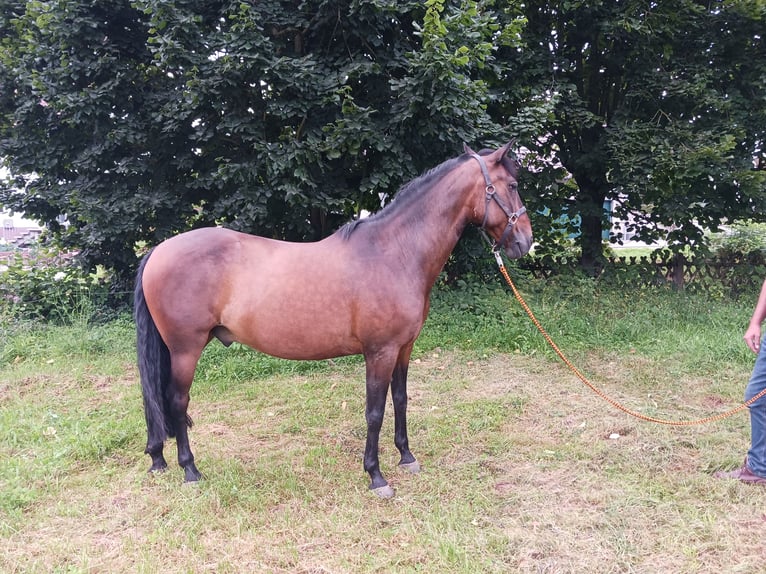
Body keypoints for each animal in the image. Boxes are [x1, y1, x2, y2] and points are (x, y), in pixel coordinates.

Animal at [135, 141, 532, 500]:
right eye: (512, 185)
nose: (525, 242)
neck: (395, 253)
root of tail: (157, 250)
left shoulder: (404, 348)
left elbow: (401, 399)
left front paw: (407, 457)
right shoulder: (380, 352)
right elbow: (374, 411)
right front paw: (376, 476)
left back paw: (159, 459)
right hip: (185, 349)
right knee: (177, 402)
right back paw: (190, 469)